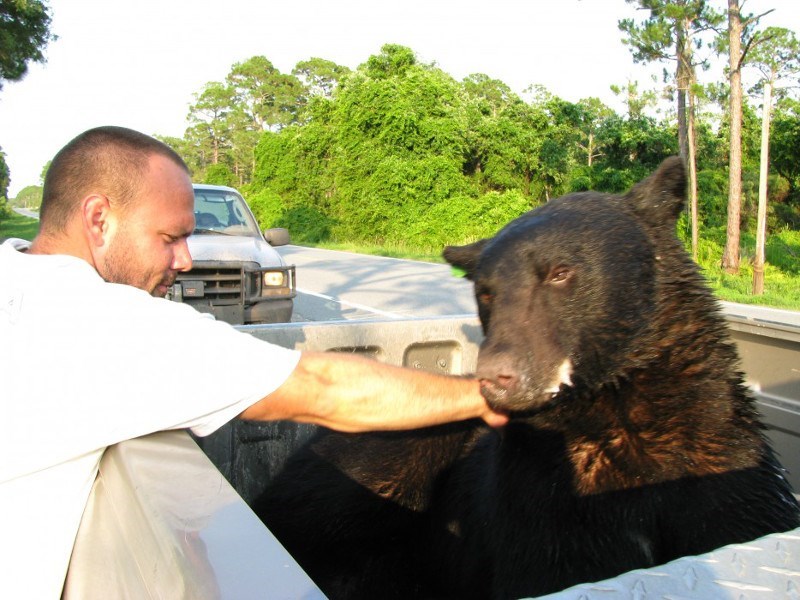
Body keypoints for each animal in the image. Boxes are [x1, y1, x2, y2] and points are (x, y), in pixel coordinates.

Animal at [254, 157, 800, 599]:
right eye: (486, 291)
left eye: (560, 272)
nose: (497, 376)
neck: (622, 418)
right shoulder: (541, 499)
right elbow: (547, 563)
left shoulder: (725, 472)